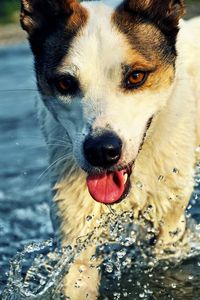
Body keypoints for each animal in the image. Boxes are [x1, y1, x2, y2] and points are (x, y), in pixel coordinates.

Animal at [20, 0, 200, 298]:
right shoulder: (75, 222)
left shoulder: (168, 219)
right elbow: (77, 274)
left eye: (136, 76)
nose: (102, 151)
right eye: (65, 83)